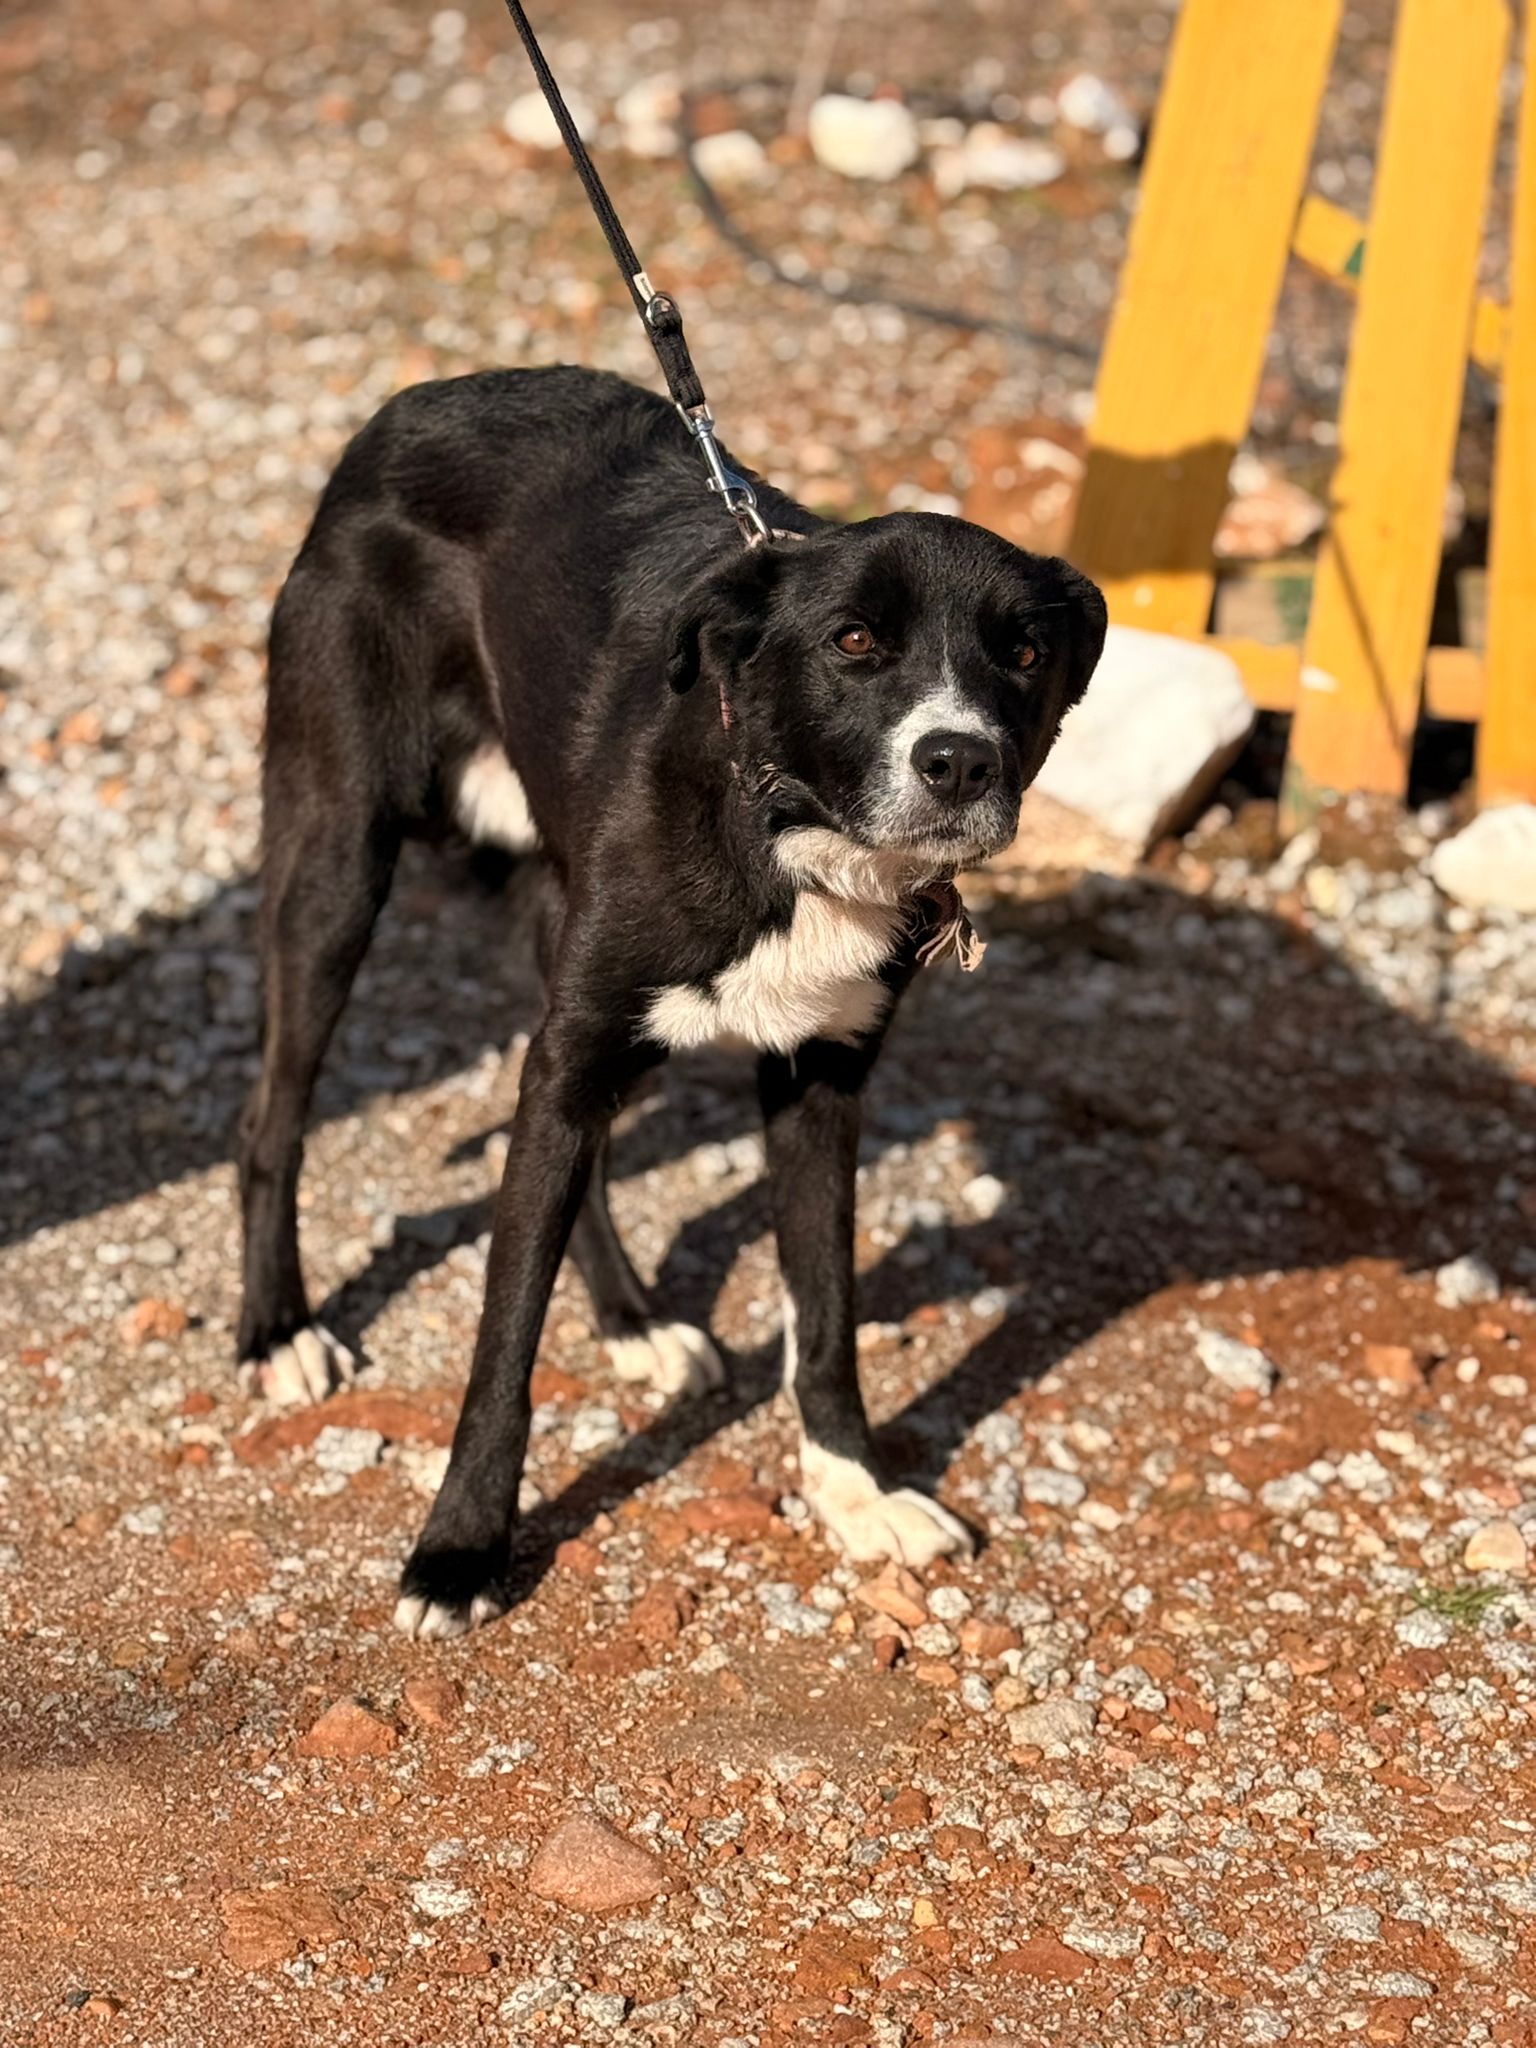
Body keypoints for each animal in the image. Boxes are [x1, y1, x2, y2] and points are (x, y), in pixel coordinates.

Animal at [235, 365, 1106, 1637]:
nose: (958, 760)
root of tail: (413, 402)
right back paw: (278, 1330)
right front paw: (459, 1548)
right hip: (338, 861)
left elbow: (827, 1314)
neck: (787, 832)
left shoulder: (821, 1079)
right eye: (854, 640)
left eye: (1026, 651)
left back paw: (634, 1320)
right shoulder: (583, 1040)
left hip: (558, 937)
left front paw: (856, 1489)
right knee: (274, 1118)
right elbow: (502, 1344)